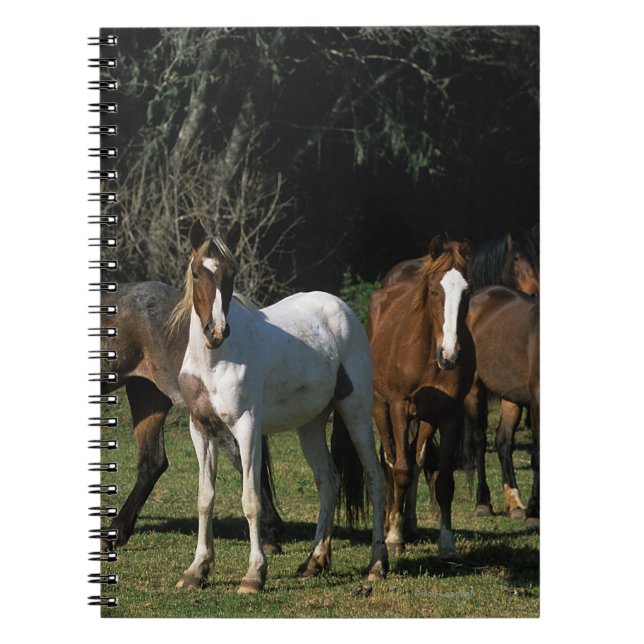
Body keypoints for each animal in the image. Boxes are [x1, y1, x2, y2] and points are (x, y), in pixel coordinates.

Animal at [172, 219, 388, 593]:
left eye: (230, 273)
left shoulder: (247, 428)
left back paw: (377, 564)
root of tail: (341, 309)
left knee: (375, 478)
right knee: (328, 481)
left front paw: (254, 574)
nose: (217, 331)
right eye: (198, 273)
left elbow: (251, 501)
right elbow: (205, 498)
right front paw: (197, 570)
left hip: (356, 412)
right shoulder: (201, 429)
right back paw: (314, 561)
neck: (215, 361)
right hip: (311, 425)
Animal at [367, 235, 475, 560]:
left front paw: (448, 544)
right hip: (381, 408)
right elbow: (400, 470)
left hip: (426, 419)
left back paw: (409, 523)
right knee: (390, 461)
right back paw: (390, 521)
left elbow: (444, 482)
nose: (450, 354)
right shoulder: (400, 406)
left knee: (416, 460)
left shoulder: (451, 415)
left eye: (467, 290)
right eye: (434, 290)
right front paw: (393, 537)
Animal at [466, 286, 539, 529]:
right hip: (473, 389)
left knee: (503, 442)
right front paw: (534, 513)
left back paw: (515, 505)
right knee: (479, 440)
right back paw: (483, 503)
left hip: (511, 398)